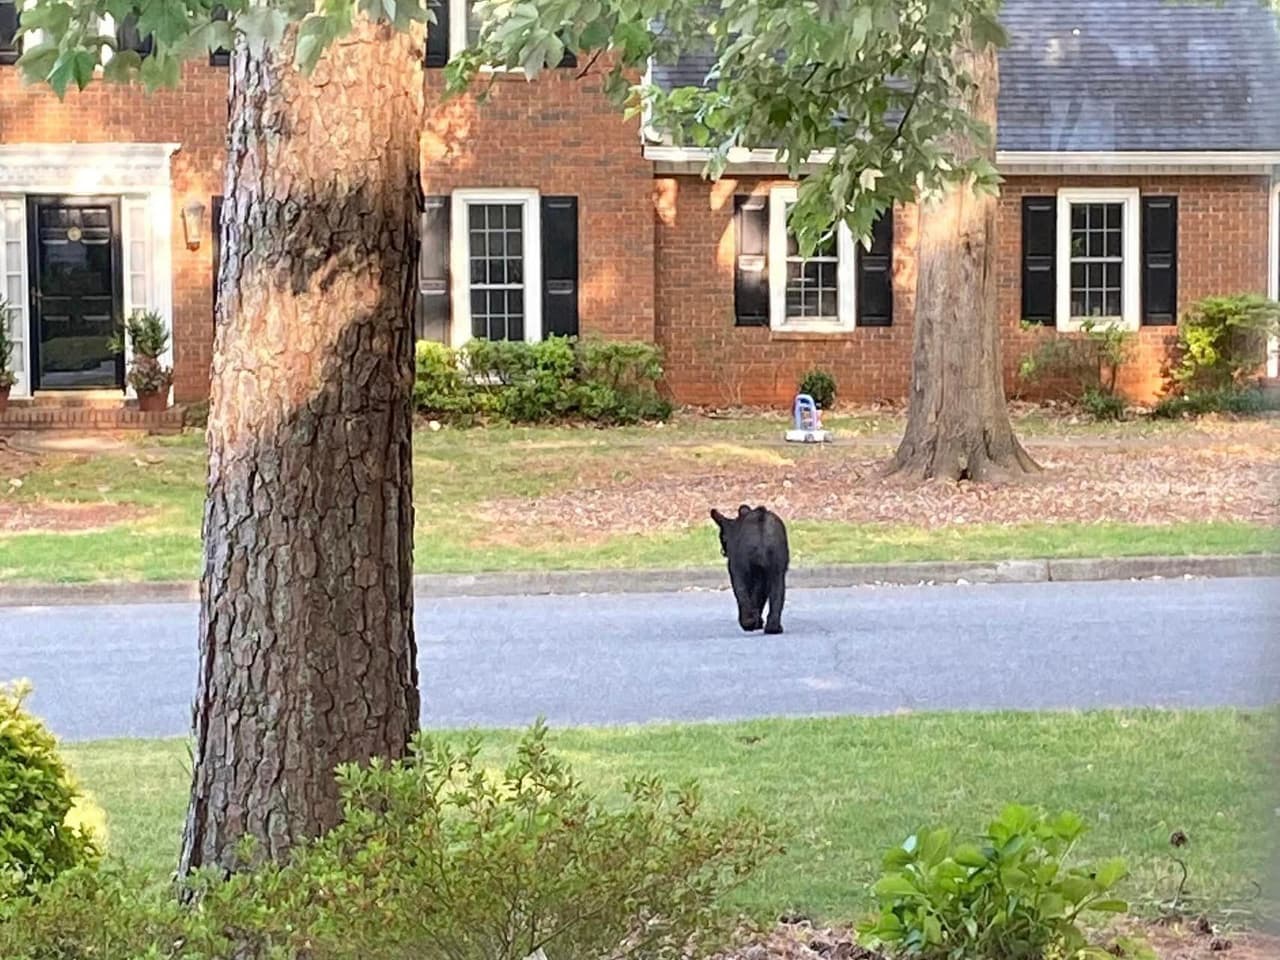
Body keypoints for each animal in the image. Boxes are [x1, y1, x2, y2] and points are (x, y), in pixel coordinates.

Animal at [710, 504, 790, 635]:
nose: (723, 551)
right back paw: (773, 627)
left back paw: (748, 622)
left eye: (722, 537)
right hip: (776, 566)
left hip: (743, 567)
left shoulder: (735, 569)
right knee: (777, 592)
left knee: (744, 593)